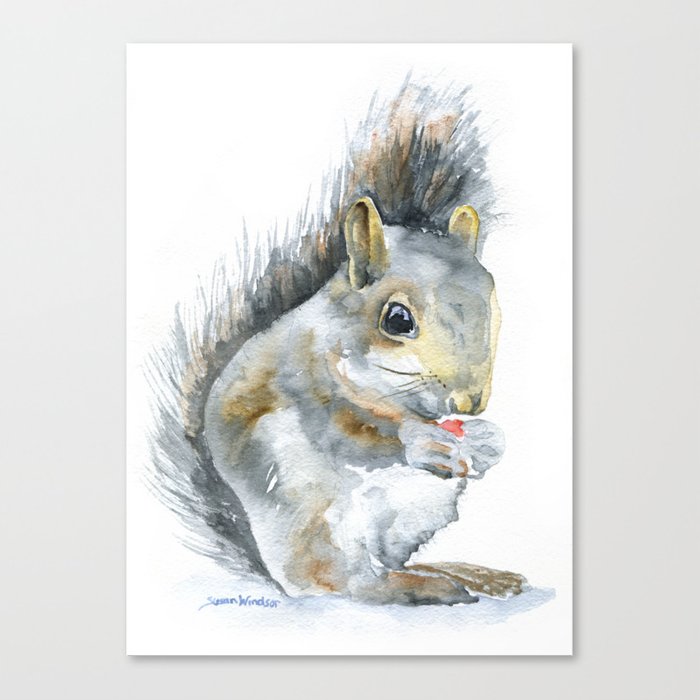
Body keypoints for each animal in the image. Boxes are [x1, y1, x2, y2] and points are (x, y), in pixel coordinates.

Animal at [147, 81, 529, 605]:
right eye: (397, 319)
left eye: (495, 309)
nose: (470, 403)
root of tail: (270, 567)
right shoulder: (305, 383)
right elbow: (351, 435)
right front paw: (420, 442)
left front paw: (490, 441)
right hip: (310, 513)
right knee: (340, 583)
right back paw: (414, 586)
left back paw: (458, 573)